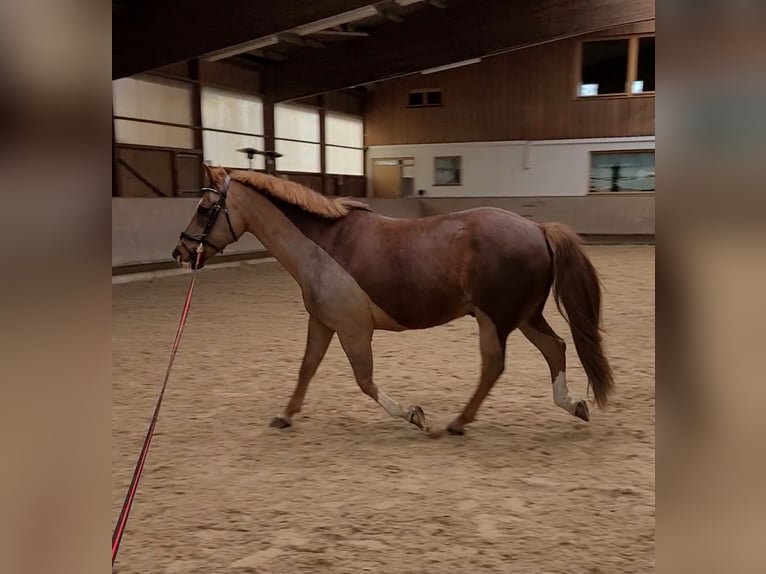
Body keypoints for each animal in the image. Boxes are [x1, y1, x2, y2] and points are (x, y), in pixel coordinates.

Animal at [171, 165, 616, 436]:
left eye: (205, 208)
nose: (181, 252)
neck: (323, 247)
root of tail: (538, 228)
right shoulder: (323, 323)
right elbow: (306, 369)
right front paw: (285, 414)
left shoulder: (353, 329)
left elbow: (364, 380)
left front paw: (413, 414)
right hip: (523, 316)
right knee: (555, 348)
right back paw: (572, 405)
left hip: (495, 320)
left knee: (495, 366)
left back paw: (457, 422)